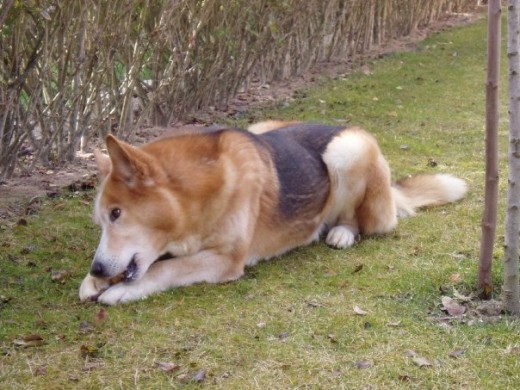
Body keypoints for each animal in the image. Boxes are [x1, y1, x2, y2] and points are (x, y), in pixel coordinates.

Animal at [78, 121, 468, 304]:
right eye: (100, 221)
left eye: (117, 214)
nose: (96, 268)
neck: (197, 196)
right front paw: (94, 282)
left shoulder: (225, 259)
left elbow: (166, 269)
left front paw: (120, 290)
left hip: (347, 151)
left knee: (360, 222)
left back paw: (341, 232)